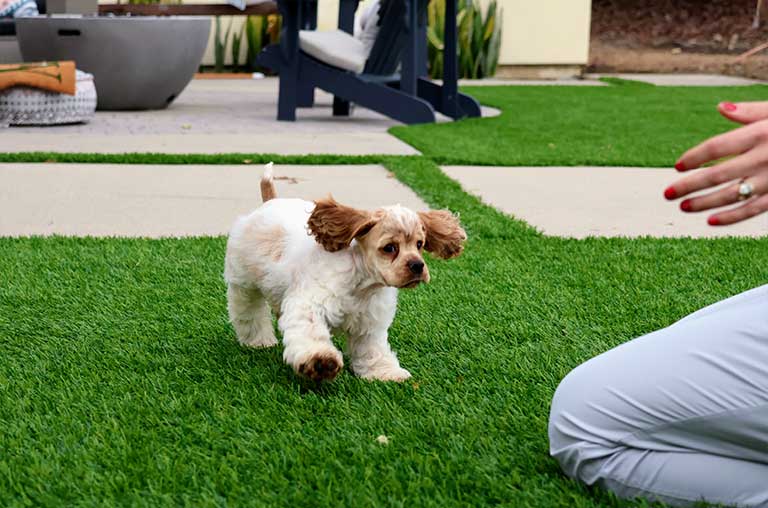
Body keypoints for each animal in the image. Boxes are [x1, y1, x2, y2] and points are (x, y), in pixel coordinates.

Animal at [222, 165, 464, 382]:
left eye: (420, 244)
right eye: (389, 248)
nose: (417, 266)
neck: (362, 284)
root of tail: (269, 203)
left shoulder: (370, 324)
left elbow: (373, 350)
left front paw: (384, 372)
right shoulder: (309, 304)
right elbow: (311, 333)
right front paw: (320, 362)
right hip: (243, 282)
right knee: (248, 312)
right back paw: (258, 341)